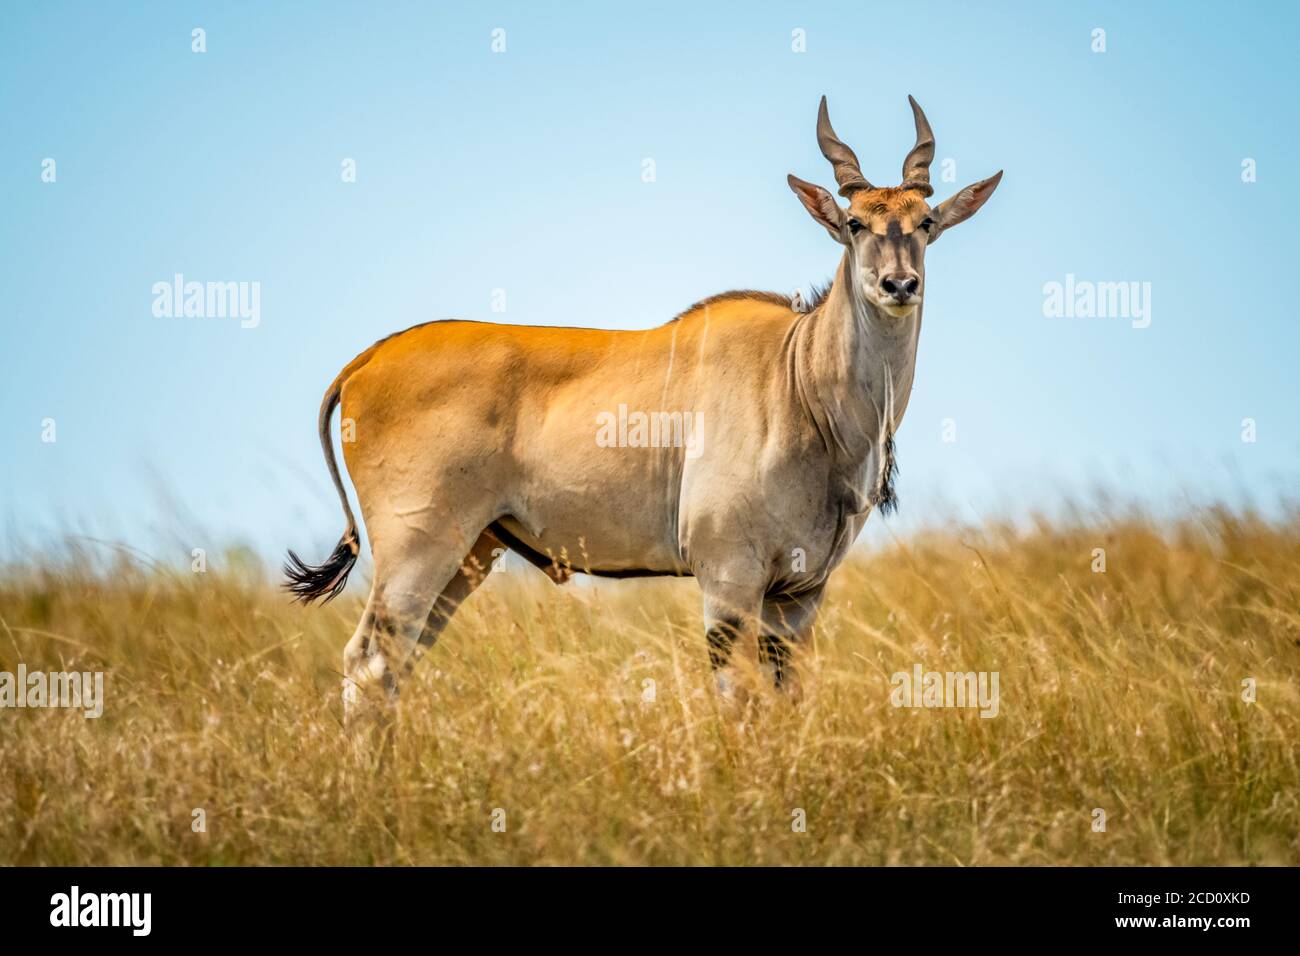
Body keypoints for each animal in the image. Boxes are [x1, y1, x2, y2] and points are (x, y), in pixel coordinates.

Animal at [289, 97, 1003, 723]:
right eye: (855, 223)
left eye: (926, 222)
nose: (899, 284)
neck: (799, 381)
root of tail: (368, 360)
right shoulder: (728, 582)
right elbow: (739, 705)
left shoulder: (798, 599)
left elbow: (787, 703)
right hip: (419, 548)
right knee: (368, 664)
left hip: (467, 557)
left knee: (394, 669)